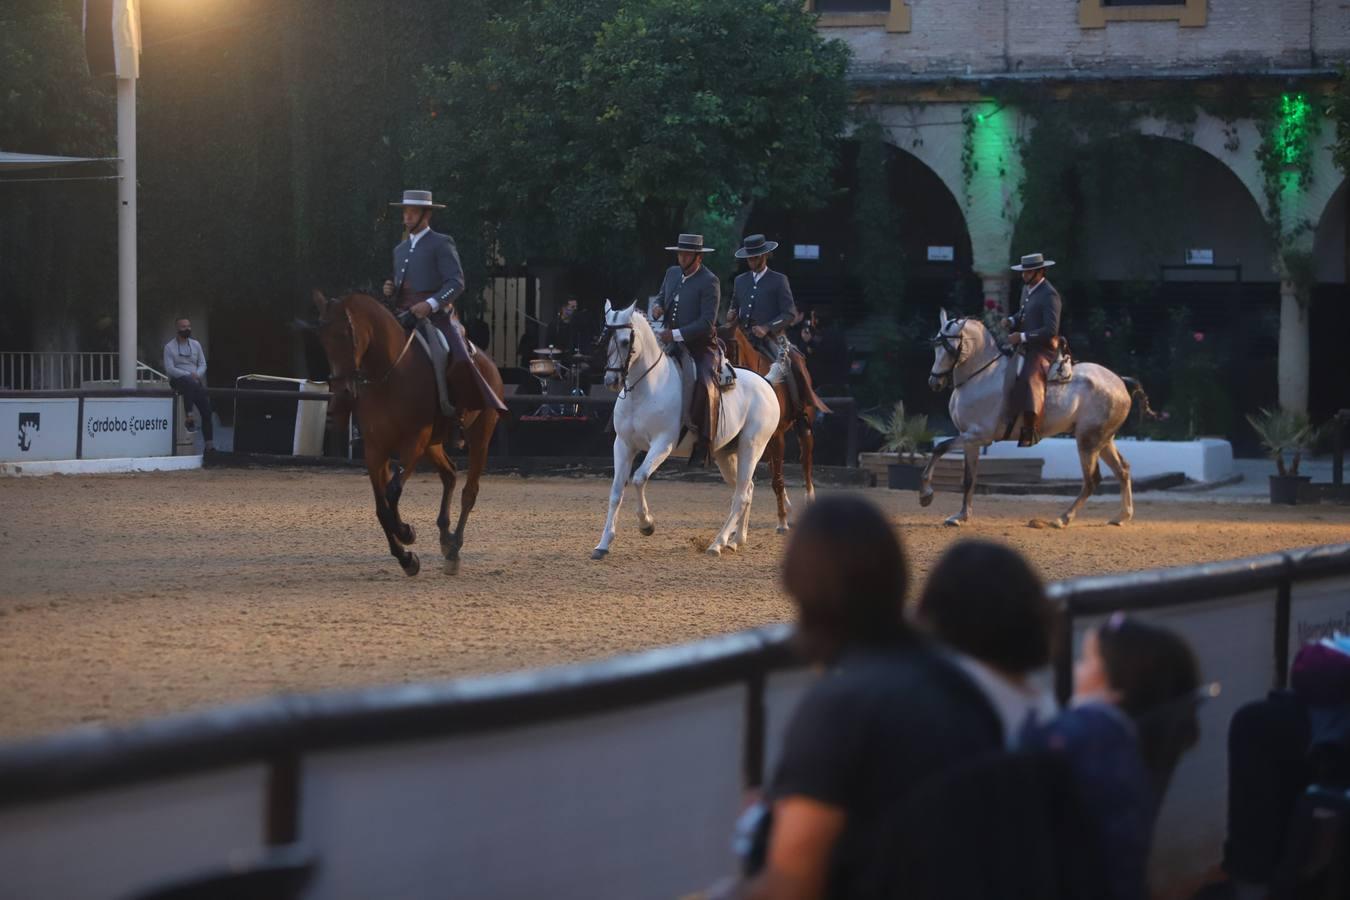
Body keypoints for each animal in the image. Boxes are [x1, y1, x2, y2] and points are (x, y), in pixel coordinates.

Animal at [313, 294, 504, 577]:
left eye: (347, 334)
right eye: (323, 339)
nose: (342, 394)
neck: (389, 375)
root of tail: (488, 363)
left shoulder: (413, 443)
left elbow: (392, 492)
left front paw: (405, 532)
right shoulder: (375, 449)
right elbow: (381, 507)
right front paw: (406, 557)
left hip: (480, 435)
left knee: (469, 491)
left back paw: (454, 550)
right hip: (433, 444)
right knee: (449, 474)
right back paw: (445, 538)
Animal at [594, 300, 783, 555]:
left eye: (625, 341)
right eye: (606, 339)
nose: (610, 381)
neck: (647, 389)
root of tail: (765, 383)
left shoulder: (662, 444)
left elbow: (639, 478)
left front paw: (647, 525)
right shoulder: (623, 444)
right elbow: (616, 491)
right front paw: (604, 543)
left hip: (751, 447)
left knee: (741, 495)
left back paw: (717, 543)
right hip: (726, 455)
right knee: (747, 489)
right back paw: (736, 539)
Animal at [718, 327, 820, 531]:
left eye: (731, 346)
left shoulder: (777, 436)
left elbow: (777, 480)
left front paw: (782, 522)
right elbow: (773, 477)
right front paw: (783, 516)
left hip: (801, 427)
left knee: (806, 461)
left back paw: (808, 500)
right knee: (775, 467)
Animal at [918, 313, 1150, 531]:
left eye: (949, 348)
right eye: (935, 346)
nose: (934, 382)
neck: (982, 375)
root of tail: (1119, 381)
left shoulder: (977, 436)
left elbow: (940, 448)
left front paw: (926, 495)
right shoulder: (969, 439)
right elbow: (967, 477)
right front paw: (960, 516)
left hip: (1088, 440)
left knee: (1092, 480)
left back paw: (1062, 519)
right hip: (1103, 440)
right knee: (1123, 469)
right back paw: (1121, 516)